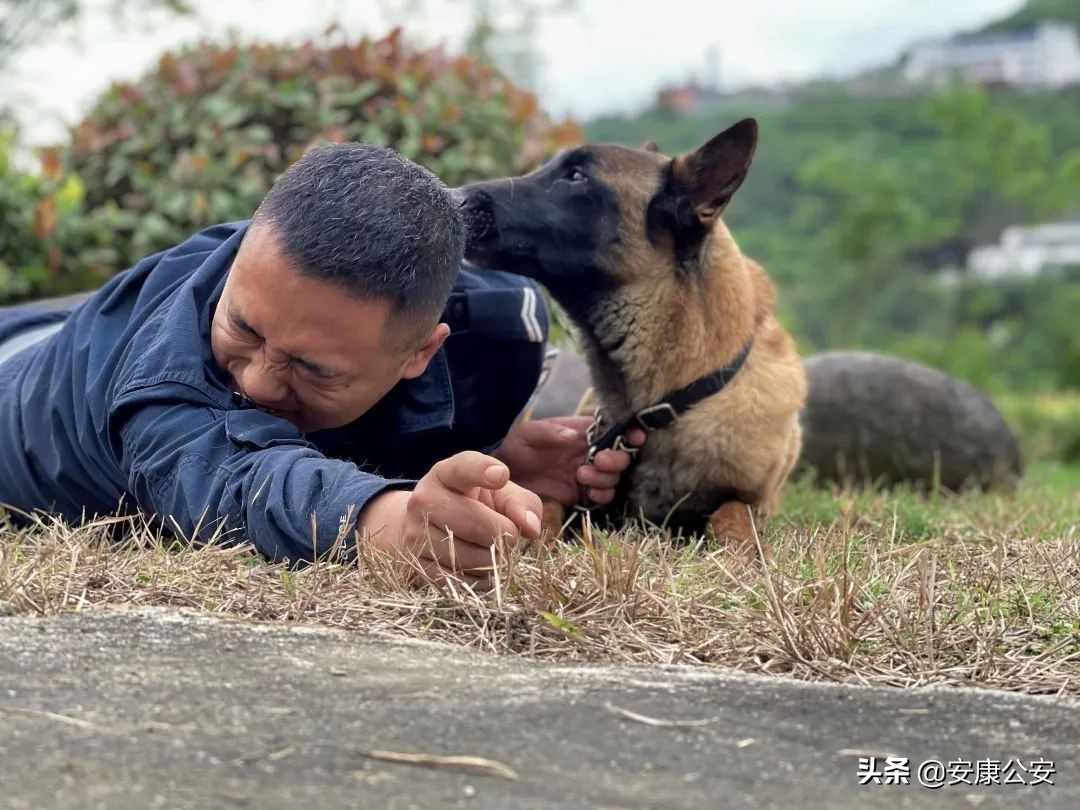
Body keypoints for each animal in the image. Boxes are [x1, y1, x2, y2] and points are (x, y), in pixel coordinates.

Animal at [460, 118, 807, 552]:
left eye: (576, 176)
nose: (453, 198)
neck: (661, 404)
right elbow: (546, 506)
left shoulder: (755, 501)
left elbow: (731, 513)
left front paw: (740, 549)